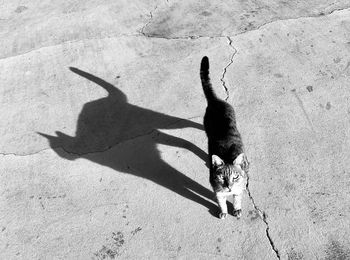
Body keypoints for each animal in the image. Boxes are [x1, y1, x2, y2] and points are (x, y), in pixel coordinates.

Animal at [200, 55, 249, 219]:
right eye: (222, 177)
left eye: (236, 177)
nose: (229, 187)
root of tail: (215, 101)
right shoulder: (217, 191)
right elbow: (221, 202)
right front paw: (223, 211)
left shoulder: (239, 188)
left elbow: (237, 199)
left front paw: (237, 209)